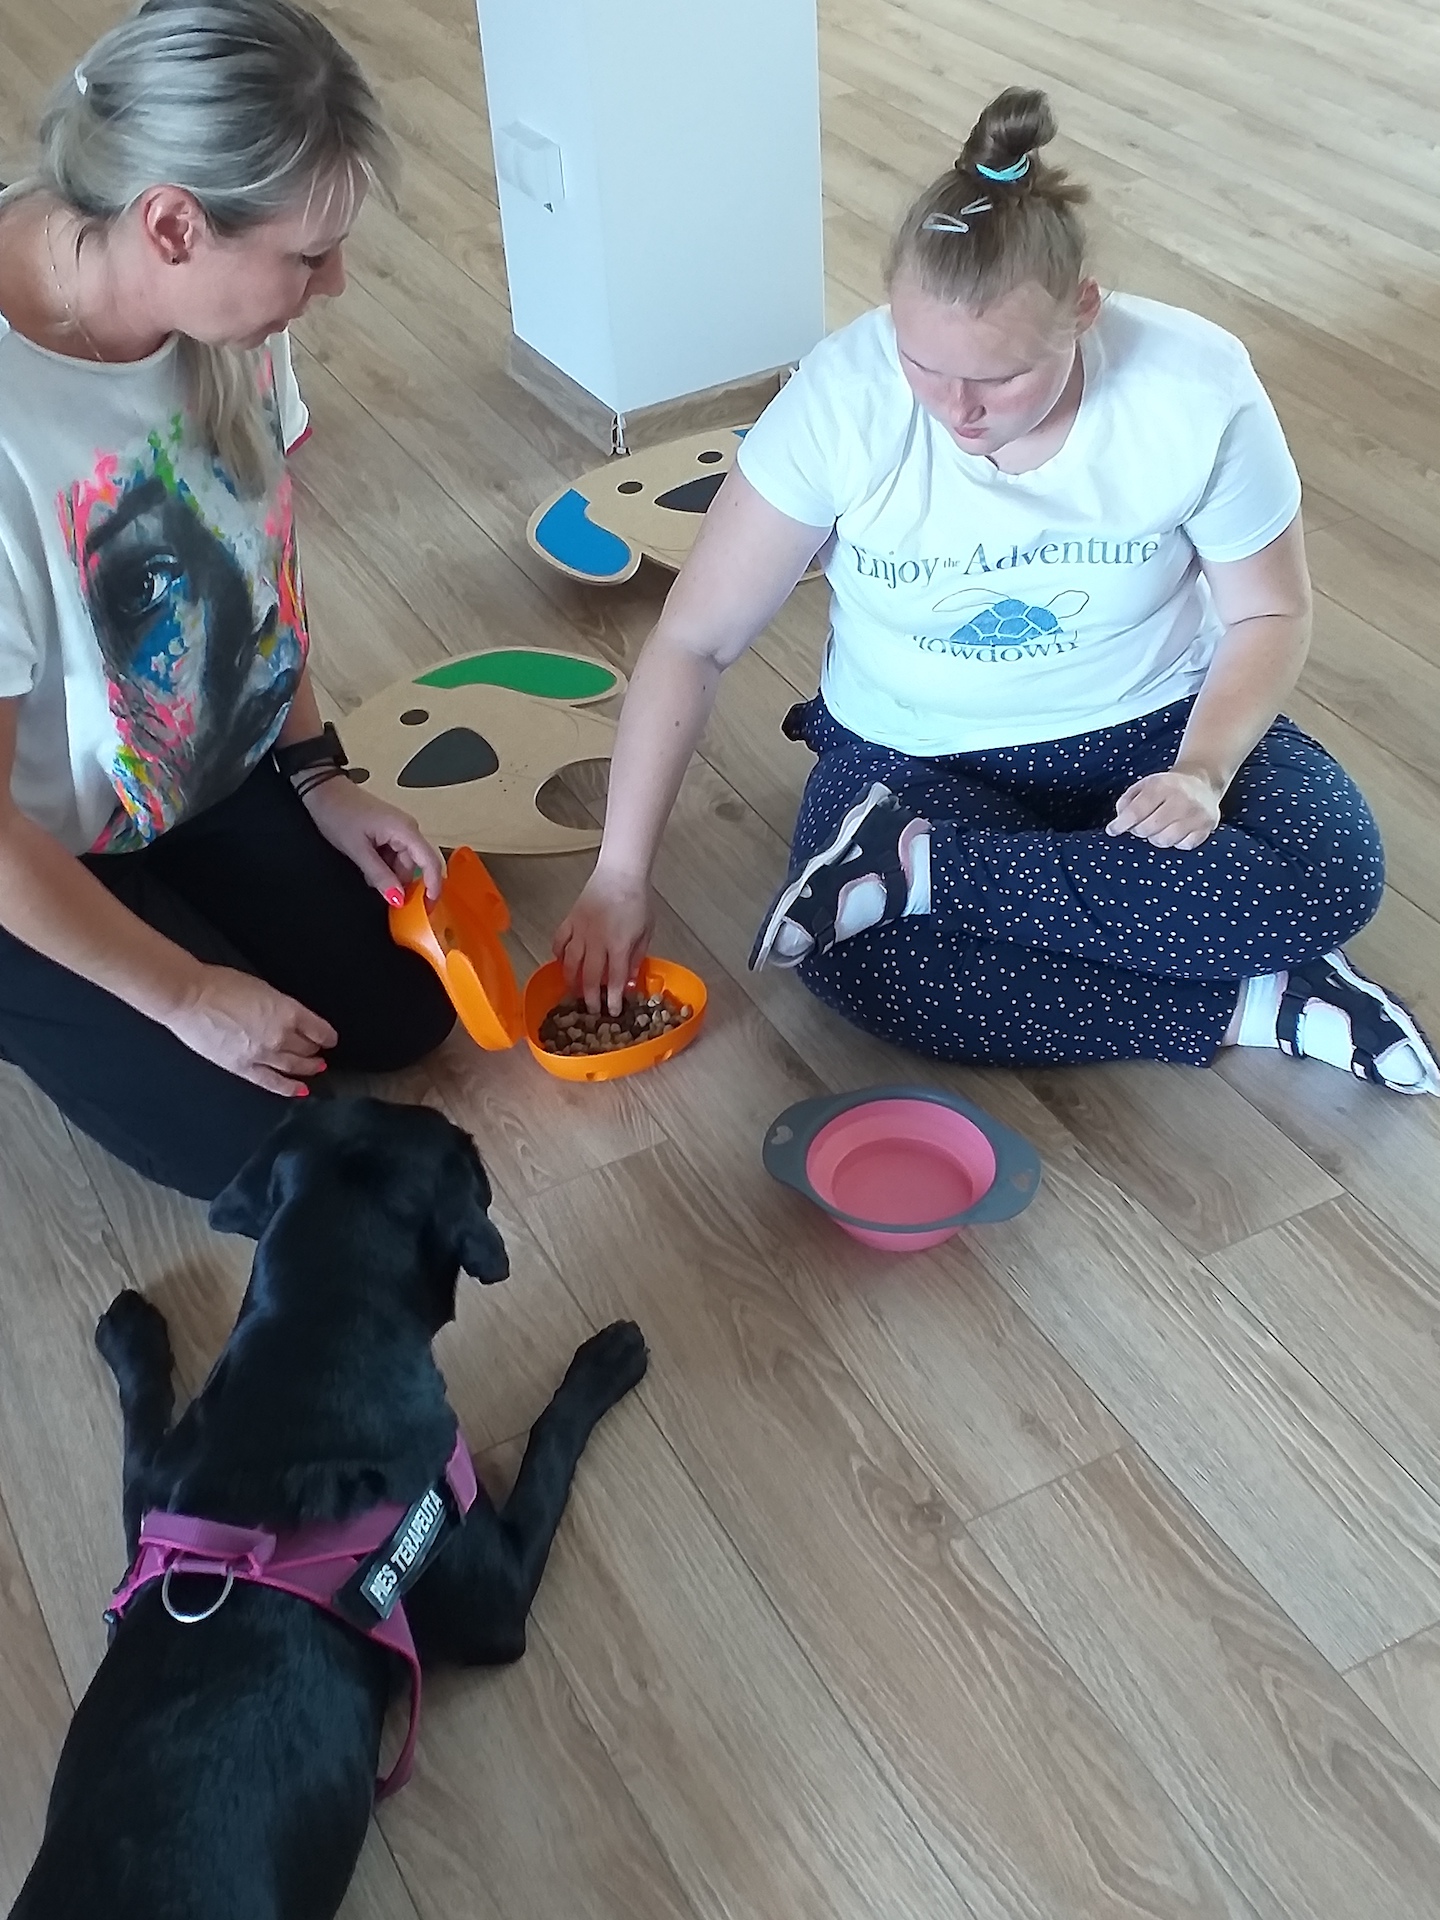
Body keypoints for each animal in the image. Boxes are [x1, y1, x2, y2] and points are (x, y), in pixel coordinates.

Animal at [10, 1097, 648, 1920]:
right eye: (465, 1154)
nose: (468, 1137)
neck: (317, 1330)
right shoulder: (497, 1597)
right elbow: (548, 1443)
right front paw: (605, 1361)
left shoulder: (153, 1512)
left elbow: (142, 1434)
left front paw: (132, 1336)